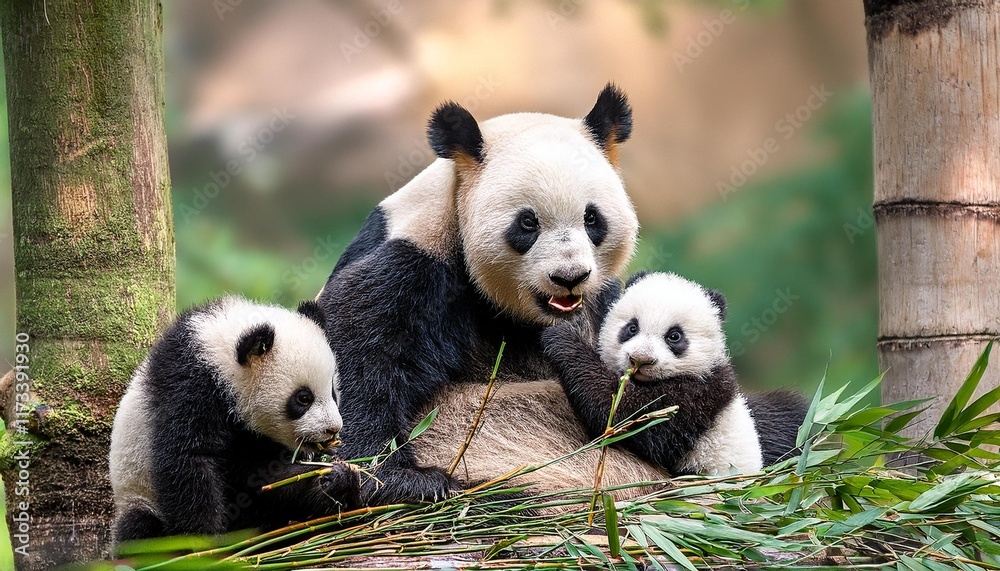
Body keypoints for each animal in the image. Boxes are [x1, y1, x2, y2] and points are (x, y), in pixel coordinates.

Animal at [109, 297, 362, 546]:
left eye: (333, 392)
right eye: (303, 398)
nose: (332, 429)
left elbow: (269, 481)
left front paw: (335, 479)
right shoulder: (187, 385)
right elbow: (187, 460)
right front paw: (202, 541)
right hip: (139, 494)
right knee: (139, 527)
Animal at [316, 84, 662, 504]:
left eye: (591, 218)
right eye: (528, 222)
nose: (569, 277)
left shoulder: (602, 303)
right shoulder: (419, 261)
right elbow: (359, 343)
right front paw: (396, 478)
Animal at [541, 271, 809, 476]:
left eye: (674, 336)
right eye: (632, 327)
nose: (640, 359)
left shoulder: (699, 393)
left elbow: (630, 418)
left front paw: (563, 339)